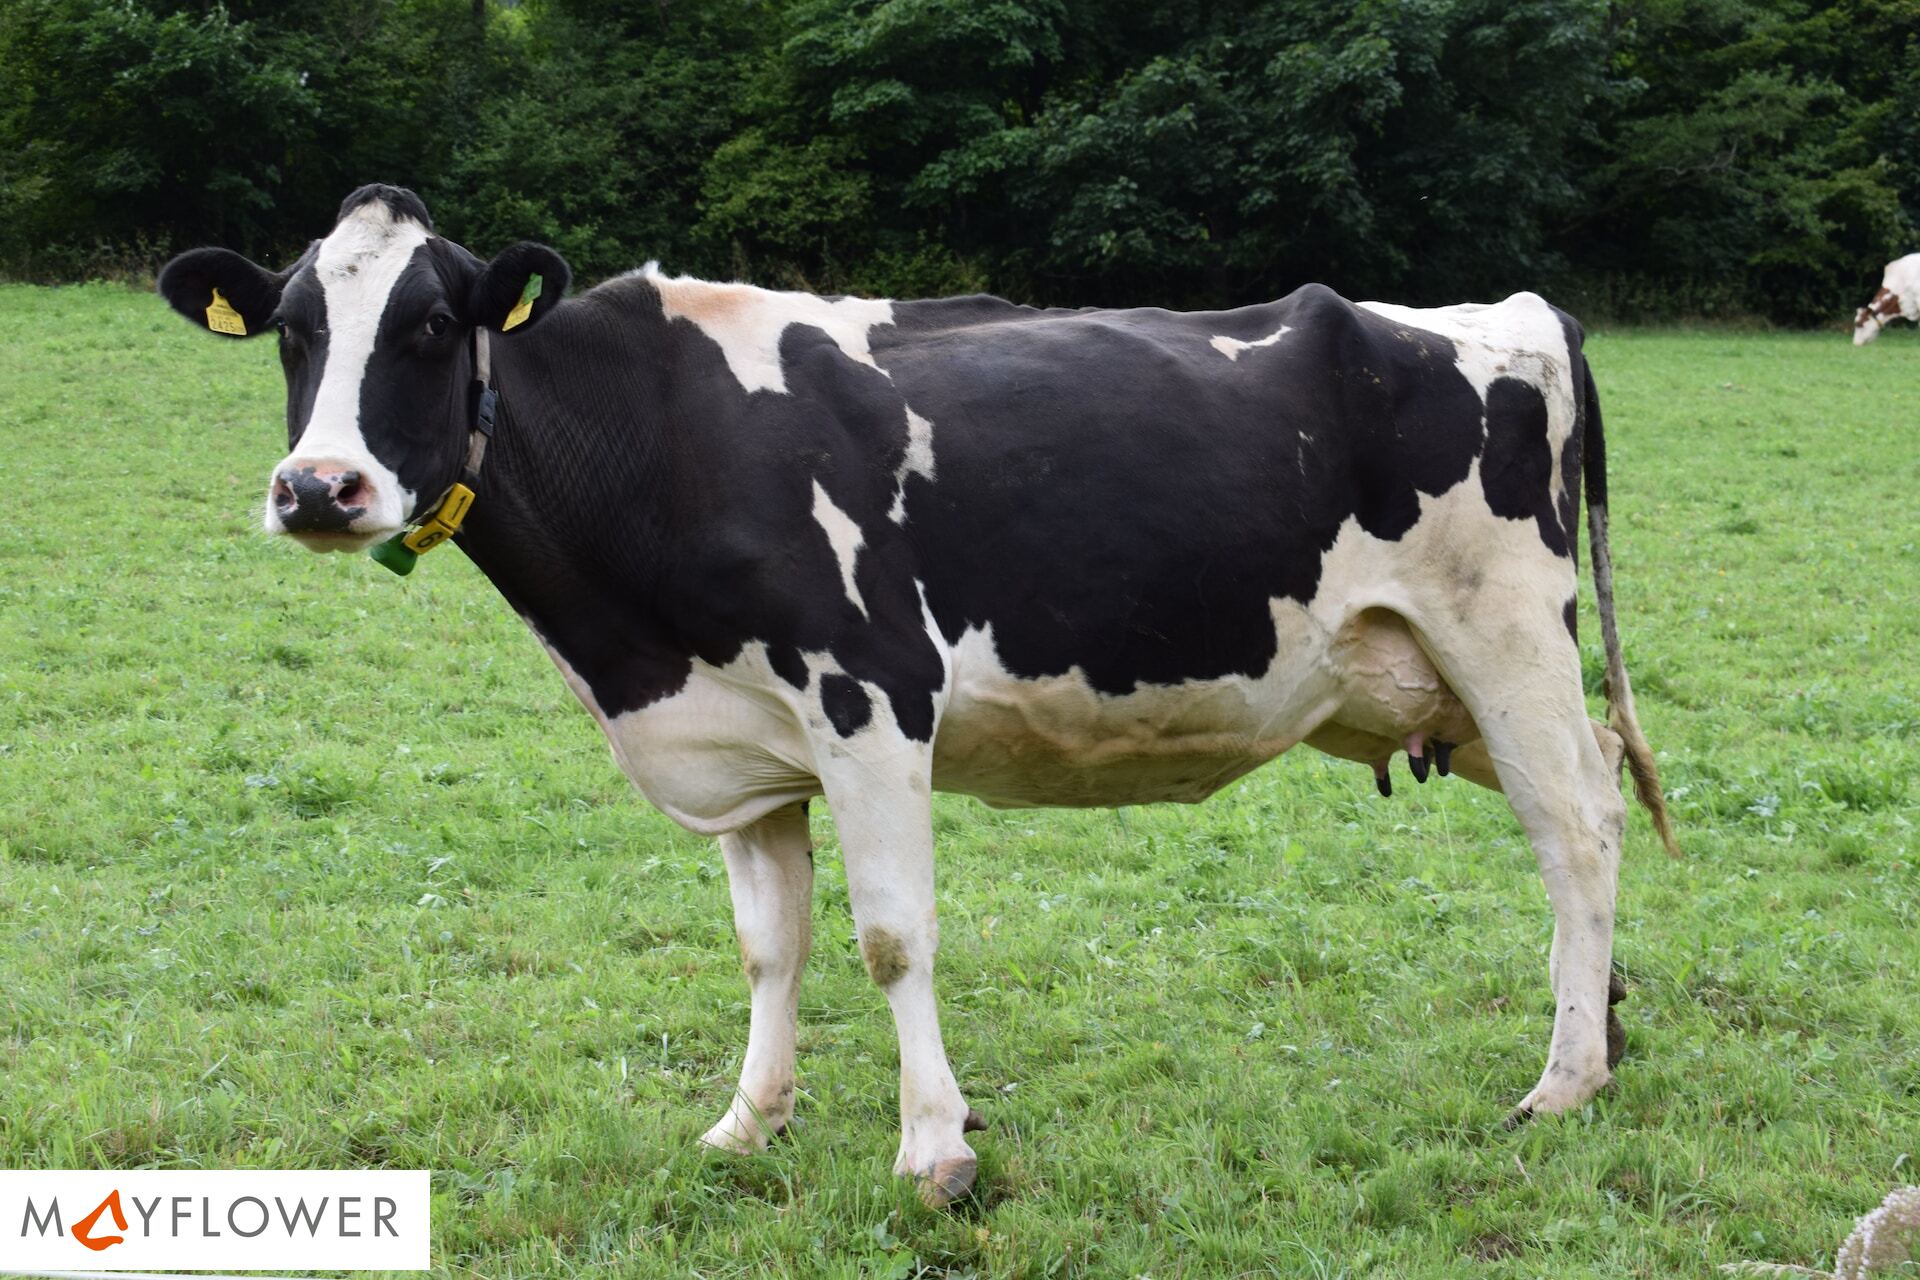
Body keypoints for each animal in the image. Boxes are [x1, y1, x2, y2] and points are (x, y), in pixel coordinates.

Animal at [157, 185, 1674, 1205]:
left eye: (428, 324)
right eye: (291, 330)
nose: (319, 489)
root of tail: (1512, 311)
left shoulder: (872, 699)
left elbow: (891, 936)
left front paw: (935, 1149)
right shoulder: (746, 750)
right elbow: (769, 948)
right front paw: (747, 1123)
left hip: (1506, 638)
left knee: (1578, 829)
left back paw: (1560, 1083)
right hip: (1439, 684)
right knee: (1599, 791)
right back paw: (1605, 1033)